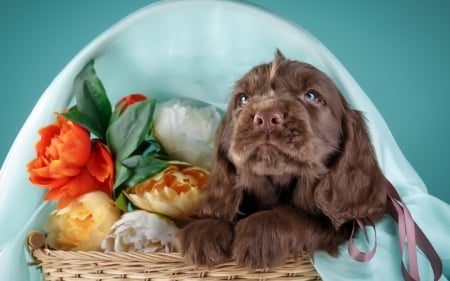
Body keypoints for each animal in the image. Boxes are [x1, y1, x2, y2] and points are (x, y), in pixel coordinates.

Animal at [174, 51, 388, 268]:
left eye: (311, 95)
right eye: (243, 99)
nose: (266, 117)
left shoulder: (341, 226)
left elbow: (298, 216)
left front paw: (257, 231)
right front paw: (204, 229)